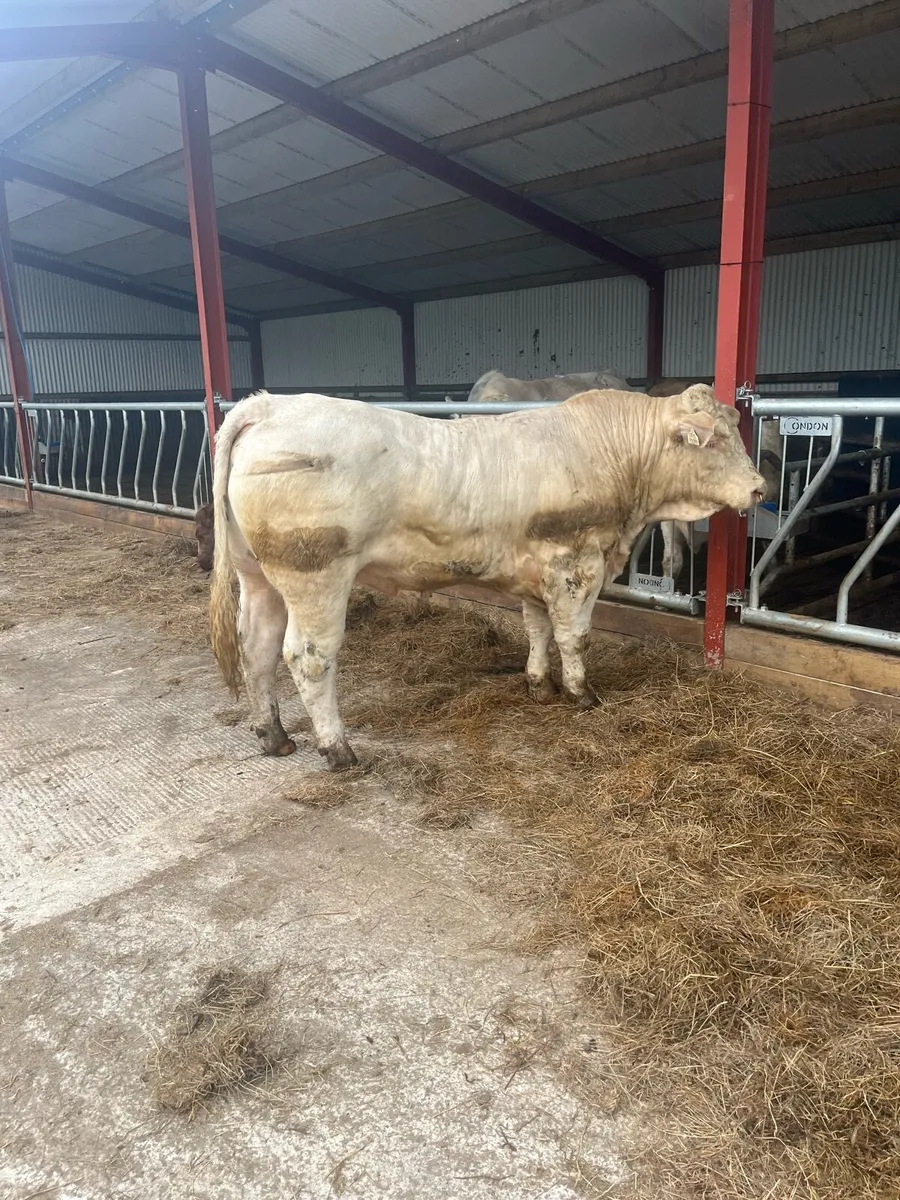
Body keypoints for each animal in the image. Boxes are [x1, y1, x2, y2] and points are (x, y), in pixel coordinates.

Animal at [208, 385, 765, 771]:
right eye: (714, 440)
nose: (760, 488)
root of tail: (266, 406)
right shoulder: (576, 563)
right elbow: (575, 635)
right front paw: (581, 693)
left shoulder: (539, 569)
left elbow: (538, 629)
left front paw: (540, 685)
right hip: (315, 576)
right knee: (308, 658)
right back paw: (338, 749)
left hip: (258, 576)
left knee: (256, 646)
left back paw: (274, 736)